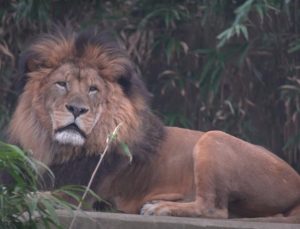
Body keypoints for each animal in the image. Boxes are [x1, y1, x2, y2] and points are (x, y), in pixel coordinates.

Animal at [7, 27, 300, 223]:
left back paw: (159, 209)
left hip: (213, 138)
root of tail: (296, 180)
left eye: (93, 89)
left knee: (215, 208)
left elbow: (30, 195)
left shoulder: (80, 196)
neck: (59, 148)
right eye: (62, 84)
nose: (77, 109)